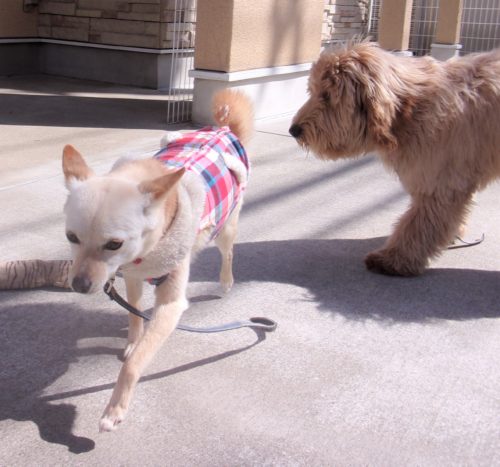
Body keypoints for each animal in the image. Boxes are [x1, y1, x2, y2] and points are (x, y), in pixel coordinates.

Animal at [62, 89, 253, 432]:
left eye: (114, 244)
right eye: (72, 237)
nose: (79, 285)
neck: (145, 256)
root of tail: (223, 128)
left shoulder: (171, 305)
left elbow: (136, 363)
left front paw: (115, 408)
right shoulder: (133, 277)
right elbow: (134, 313)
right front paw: (133, 340)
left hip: (226, 227)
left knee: (228, 251)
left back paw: (226, 281)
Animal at [290, 41, 500, 276]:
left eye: (327, 95)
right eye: (313, 90)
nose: (293, 130)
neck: (410, 109)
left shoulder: (440, 183)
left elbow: (418, 224)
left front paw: (394, 259)